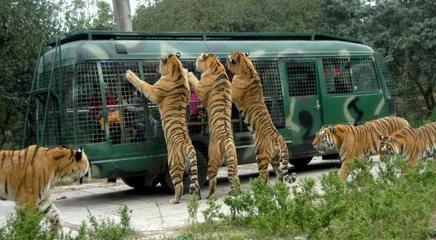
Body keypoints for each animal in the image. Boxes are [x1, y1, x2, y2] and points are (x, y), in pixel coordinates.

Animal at [125, 52, 202, 202]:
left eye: (160, 62)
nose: (156, 67)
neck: (176, 71)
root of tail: (187, 145)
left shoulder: (153, 91)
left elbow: (142, 84)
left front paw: (130, 74)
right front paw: (188, 72)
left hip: (173, 165)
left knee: (179, 185)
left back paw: (174, 200)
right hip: (191, 166)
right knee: (196, 182)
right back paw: (198, 197)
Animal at [187, 53, 242, 198]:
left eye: (198, 58)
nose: (193, 63)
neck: (216, 65)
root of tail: (227, 141)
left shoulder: (200, 88)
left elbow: (195, 81)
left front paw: (189, 73)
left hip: (212, 158)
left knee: (212, 180)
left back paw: (208, 196)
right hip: (234, 161)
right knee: (235, 177)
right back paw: (236, 191)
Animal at [225, 51, 296, 184]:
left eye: (228, 59)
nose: (225, 63)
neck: (247, 67)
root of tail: (280, 139)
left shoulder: (231, 92)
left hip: (260, 155)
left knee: (265, 174)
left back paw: (259, 184)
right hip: (275, 159)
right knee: (279, 174)